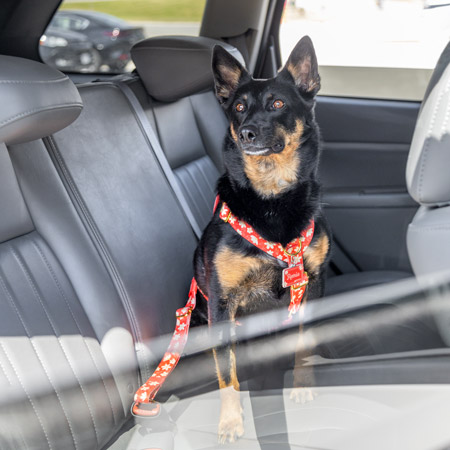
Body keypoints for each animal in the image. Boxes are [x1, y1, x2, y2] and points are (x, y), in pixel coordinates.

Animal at [192, 36, 330, 442]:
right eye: (239, 107)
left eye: (278, 104)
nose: (247, 132)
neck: (271, 197)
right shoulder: (223, 303)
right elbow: (227, 371)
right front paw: (230, 421)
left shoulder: (314, 283)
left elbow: (303, 338)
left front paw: (301, 385)